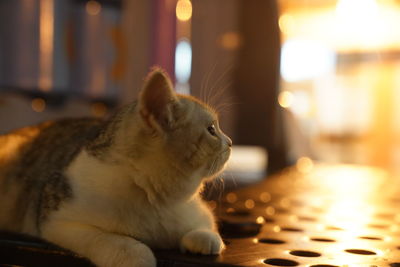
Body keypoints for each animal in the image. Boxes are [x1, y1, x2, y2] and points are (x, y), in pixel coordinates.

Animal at [0, 68, 231, 267]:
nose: (229, 142)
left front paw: (203, 237)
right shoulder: (58, 220)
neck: (156, 198)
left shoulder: (200, 212)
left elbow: (207, 225)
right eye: (212, 129)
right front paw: (137, 256)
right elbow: (113, 241)